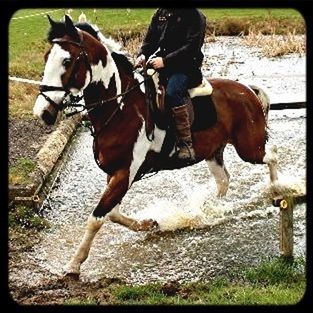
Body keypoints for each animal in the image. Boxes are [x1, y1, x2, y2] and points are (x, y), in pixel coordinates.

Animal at [33, 15, 278, 276]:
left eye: (67, 60)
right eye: (46, 57)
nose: (43, 112)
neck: (121, 107)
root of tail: (248, 90)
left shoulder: (125, 172)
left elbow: (97, 217)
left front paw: (74, 264)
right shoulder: (117, 173)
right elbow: (113, 214)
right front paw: (150, 224)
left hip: (249, 148)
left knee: (272, 156)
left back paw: (277, 190)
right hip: (214, 152)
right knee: (223, 181)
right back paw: (208, 209)